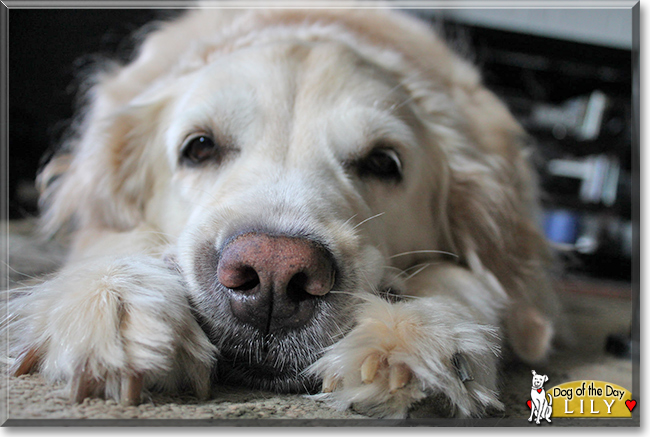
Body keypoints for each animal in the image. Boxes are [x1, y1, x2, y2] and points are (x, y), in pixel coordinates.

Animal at [6, 5, 556, 416]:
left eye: (383, 162)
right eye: (199, 147)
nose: (273, 273)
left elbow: (463, 280)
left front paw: (422, 336)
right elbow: (119, 237)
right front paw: (113, 302)